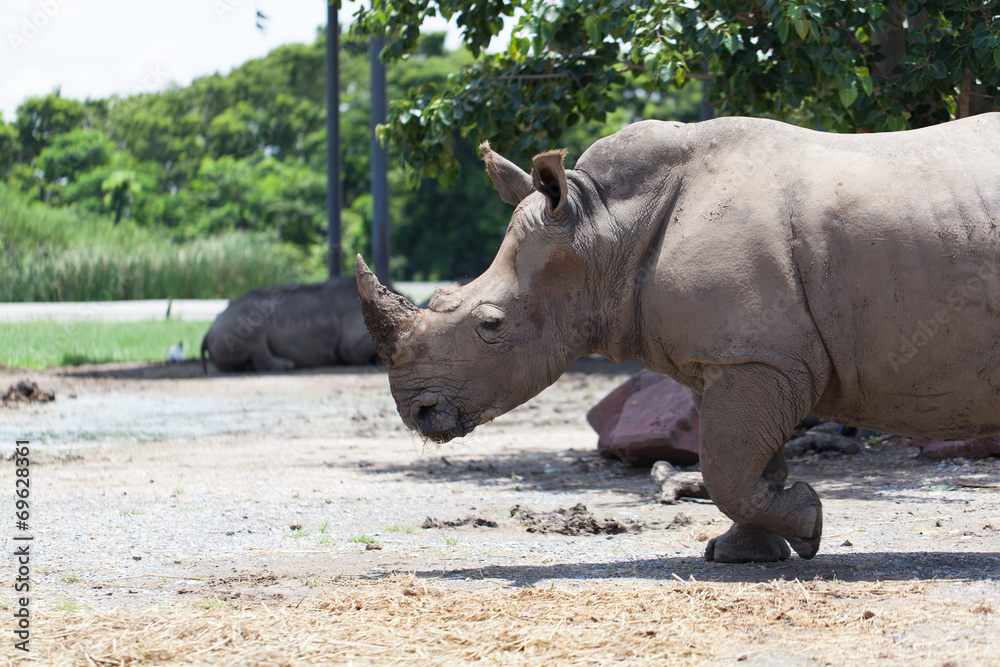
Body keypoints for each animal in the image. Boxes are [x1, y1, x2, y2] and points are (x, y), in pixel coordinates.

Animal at [201, 278, 375, 372]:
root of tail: (208, 331)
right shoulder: (351, 345)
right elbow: (351, 350)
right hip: (235, 320)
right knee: (254, 338)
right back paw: (287, 365)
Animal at [355, 114, 1000, 563]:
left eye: (490, 326)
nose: (417, 412)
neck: (602, 231)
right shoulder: (734, 356)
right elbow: (746, 464)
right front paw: (743, 555)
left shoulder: (756, 358)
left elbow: (725, 468)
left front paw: (810, 526)